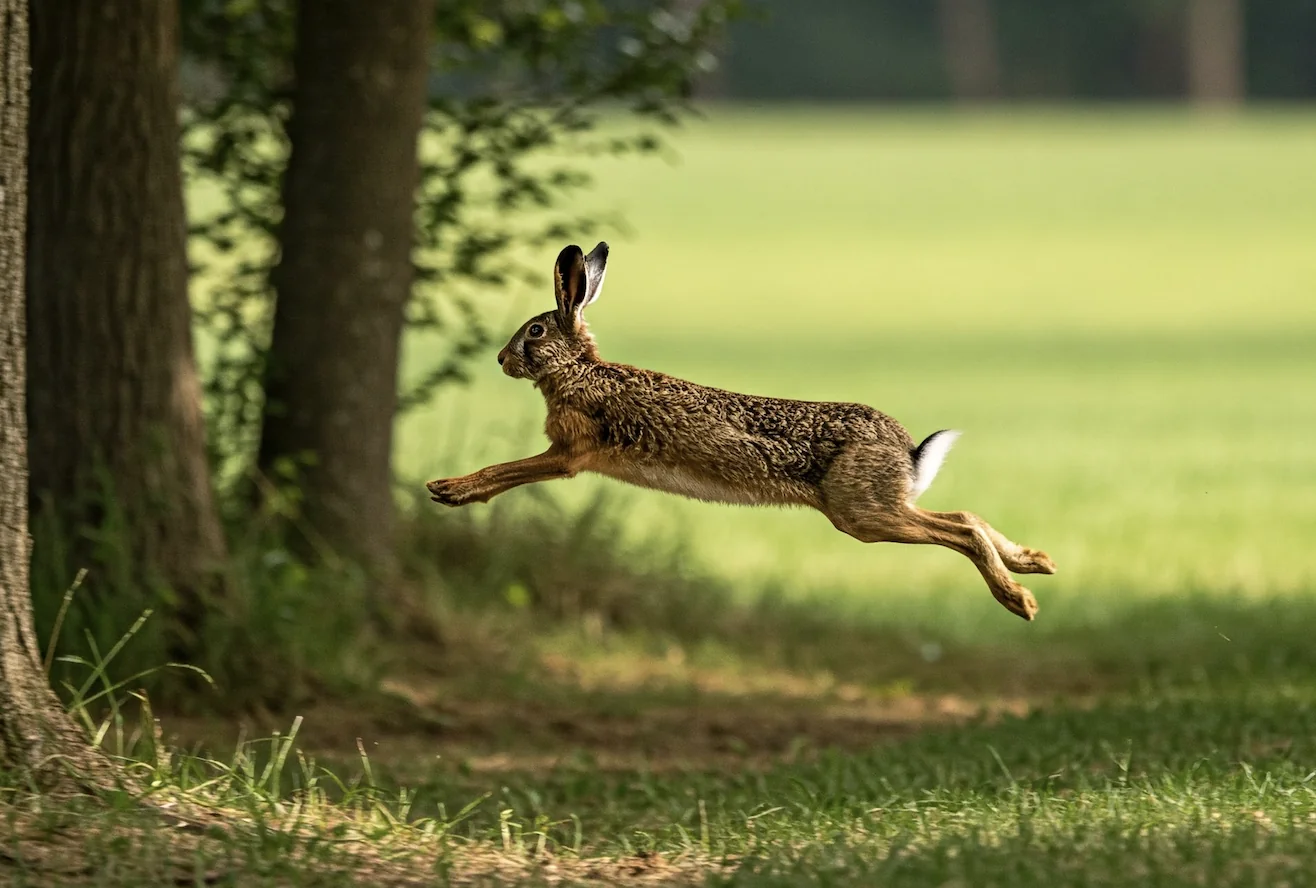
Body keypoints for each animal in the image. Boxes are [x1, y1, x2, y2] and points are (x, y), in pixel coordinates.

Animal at [427, 243, 1055, 620]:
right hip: (879, 508)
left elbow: (510, 470)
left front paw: (448, 490)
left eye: (533, 331)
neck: (579, 370)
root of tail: (907, 451)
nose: (502, 359)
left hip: (864, 514)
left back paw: (1019, 599)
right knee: (965, 516)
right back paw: (1035, 562)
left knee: (961, 531)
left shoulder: (568, 452)